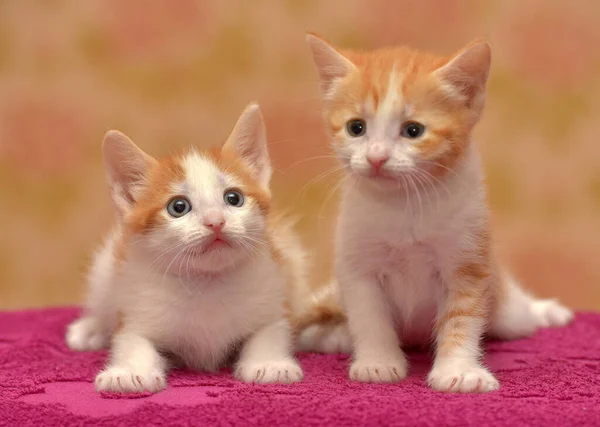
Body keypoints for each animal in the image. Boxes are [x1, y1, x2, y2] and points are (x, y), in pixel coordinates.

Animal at [65, 105, 310, 392]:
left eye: (233, 198)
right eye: (178, 207)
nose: (215, 221)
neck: (207, 282)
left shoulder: (274, 291)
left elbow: (271, 331)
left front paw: (269, 363)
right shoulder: (137, 308)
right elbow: (131, 339)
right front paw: (129, 372)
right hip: (107, 268)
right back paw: (89, 329)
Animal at [308, 35, 576, 392]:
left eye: (413, 131)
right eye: (356, 128)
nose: (377, 157)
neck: (403, 206)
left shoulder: (469, 262)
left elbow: (461, 320)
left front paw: (457, 370)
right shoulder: (356, 266)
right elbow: (369, 317)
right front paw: (377, 362)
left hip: (506, 311)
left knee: (519, 314)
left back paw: (546, 311)